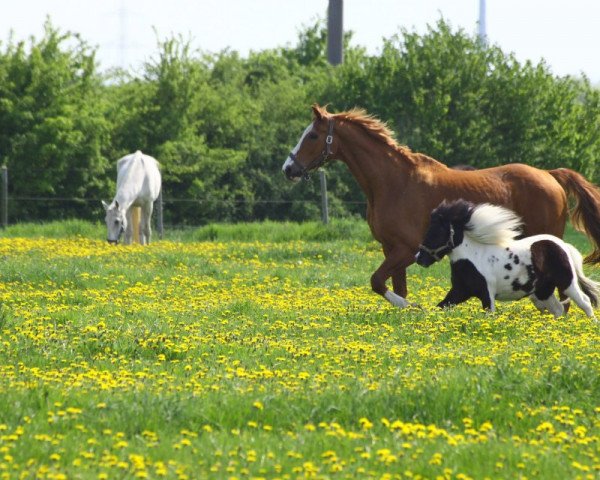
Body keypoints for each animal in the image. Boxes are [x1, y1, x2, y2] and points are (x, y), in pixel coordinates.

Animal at [414, 199, 596, 318]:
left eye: (434, 232)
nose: (419, 258)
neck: (473, 258)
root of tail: (563, 245)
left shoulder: (487, 294)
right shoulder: (460, 292)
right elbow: (440, 306)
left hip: (567, 283)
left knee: (585, 302)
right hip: (543, 291)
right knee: (558, 309)